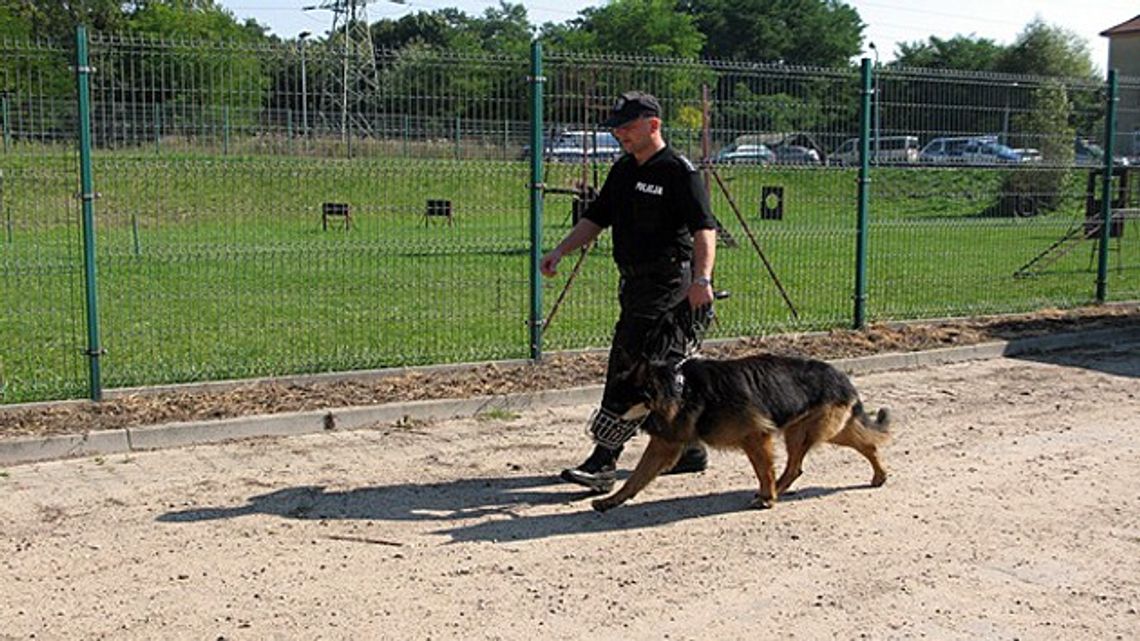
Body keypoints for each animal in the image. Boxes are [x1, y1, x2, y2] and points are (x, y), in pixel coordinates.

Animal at [592, 351, 893, 510]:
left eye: (615, 402)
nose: (595, 429)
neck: (680, 388)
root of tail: (841, 376)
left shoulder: (755, 437)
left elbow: (763, 470)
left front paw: (767, 496)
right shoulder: (663, 446)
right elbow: (636, 478)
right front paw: (612, 500)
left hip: (810, 432)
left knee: (797, 466)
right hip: (812, 430)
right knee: (862, 446)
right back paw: (879, 474)